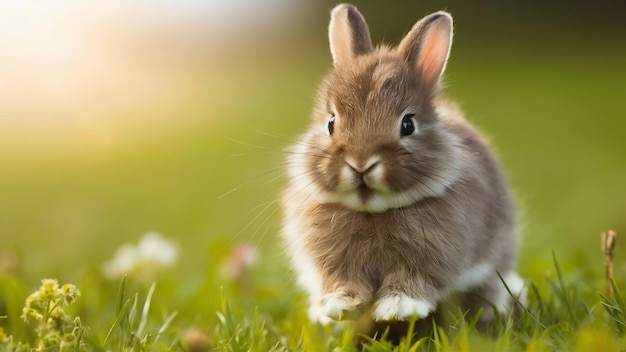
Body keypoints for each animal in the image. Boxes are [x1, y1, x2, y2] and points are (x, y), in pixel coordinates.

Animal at [280, 3, 520, 328]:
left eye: (408, 124)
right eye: (331, 122)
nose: (361, 163)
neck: (372, 211)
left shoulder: (428, 258)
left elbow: (414, 280)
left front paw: (398, 309)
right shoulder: (332, 261)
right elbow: (341, 279)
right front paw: (340, 306)